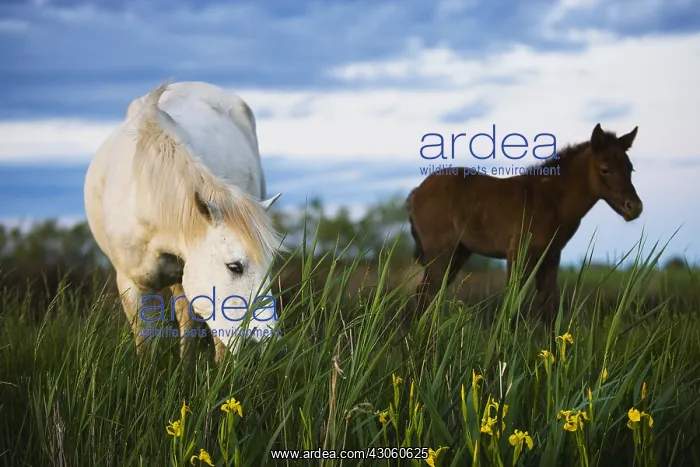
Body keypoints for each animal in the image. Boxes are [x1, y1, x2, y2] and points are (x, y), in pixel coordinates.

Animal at [406, 123, 643, 325]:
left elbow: (549, 311)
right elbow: (511, 307)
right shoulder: (519, 253)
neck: (552, 201)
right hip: (441, 252)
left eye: (630, 168)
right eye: (605, 169)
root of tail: (417, 191)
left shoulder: (550, 257)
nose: (635, 207)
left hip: (459, 252)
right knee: (426, 295)